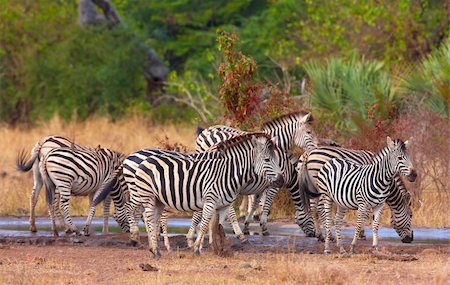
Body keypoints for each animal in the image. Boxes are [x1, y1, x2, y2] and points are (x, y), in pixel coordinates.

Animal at [126, 132, 284, 256]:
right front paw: (196, 247)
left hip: (157, 199)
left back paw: (155, 248)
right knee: (137, 212)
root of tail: (136, 156)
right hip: (143, 194)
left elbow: (217, 226)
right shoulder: (209, 201)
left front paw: (217, 248)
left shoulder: (222, 205)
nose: (281, 180)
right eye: (267, 160)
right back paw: (138, 239)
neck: (227, 173)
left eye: (277, 160)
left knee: (151, 218)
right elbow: (203, 223)